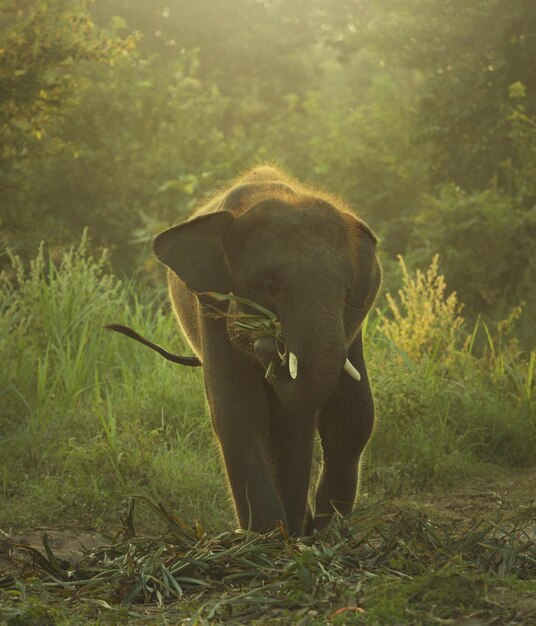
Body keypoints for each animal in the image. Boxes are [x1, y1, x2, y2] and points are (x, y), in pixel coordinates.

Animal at [109, 163, 382, 532]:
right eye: (270, 287)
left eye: (347, 289)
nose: (270, 345)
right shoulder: (212, 304)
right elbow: (239, 409)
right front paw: (267, 534)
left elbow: (293, 420)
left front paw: (287, 533)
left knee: (354, 417)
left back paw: (326, 530)